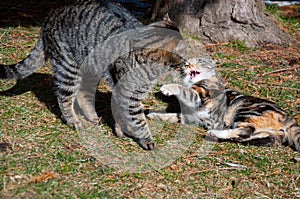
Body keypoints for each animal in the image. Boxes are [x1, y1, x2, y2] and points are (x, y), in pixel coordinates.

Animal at [0, 0, 190, 149]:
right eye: (183, 59)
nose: (188, 63)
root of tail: (50, 16)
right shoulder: (128, 94)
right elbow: (138, 120)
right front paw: (145, 138)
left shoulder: (124, 92)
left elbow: (120, 113)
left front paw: (120, 130)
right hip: (69, 69)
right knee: (65, 98)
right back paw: (74, 121)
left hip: (90, 71)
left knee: (83, 95)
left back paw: (92, 117)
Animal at [148, 57, 300, 151]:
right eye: (185, 64)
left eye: (200, 61)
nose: (188, 65)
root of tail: (288, 118)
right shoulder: (188, 116)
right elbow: (170, 116)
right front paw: (152, 114)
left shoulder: (201, 95)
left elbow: (183, 90)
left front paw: (166, 88)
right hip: (268, 132)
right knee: (258, 137)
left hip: (246, 111)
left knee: (245, 130)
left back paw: (214, 132)